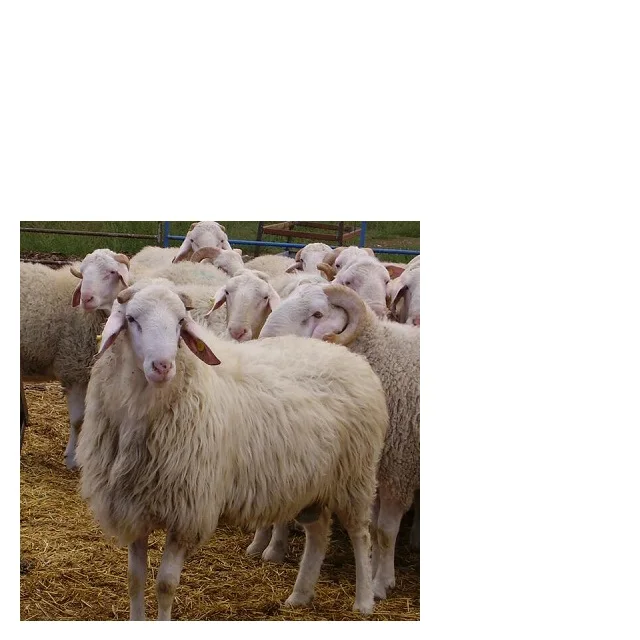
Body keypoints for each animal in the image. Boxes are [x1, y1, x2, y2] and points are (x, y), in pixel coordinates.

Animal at [76, 281, 388, 619]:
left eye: (180, 322)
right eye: (132, 319)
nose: (162, 366)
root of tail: (348, 356)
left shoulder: (188, 513)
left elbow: (165, 585)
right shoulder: (133, 508)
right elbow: (135, 580)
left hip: (356, 476)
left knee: (360, 535)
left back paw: (364, 601)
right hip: (313, 484)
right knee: (318, 534)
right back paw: (300, 595)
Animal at [260, 283, 419, 600]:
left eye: (318, 314)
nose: (265, 342)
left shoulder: (399, 470)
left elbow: (385, 531)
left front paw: (382, 584)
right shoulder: (372, 469)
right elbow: (372, 527)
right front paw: (373, 573)